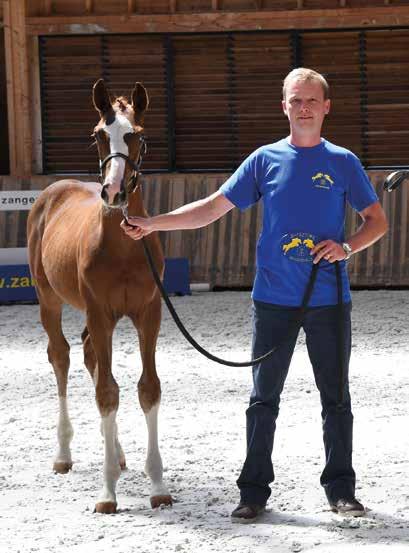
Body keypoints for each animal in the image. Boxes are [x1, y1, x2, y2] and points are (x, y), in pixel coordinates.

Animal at [26, 78, 171, 512]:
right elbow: (107, 393)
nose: (114, 193)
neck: (122, 248)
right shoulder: (100, 312)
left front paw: (157, 485)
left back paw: (119, 454)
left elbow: (147, 388)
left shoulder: (149, 313)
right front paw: (107, 493)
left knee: (90, 355)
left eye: (138, 135)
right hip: (49, 300)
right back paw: (63, 455)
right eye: (98, 135)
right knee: (61, 356)